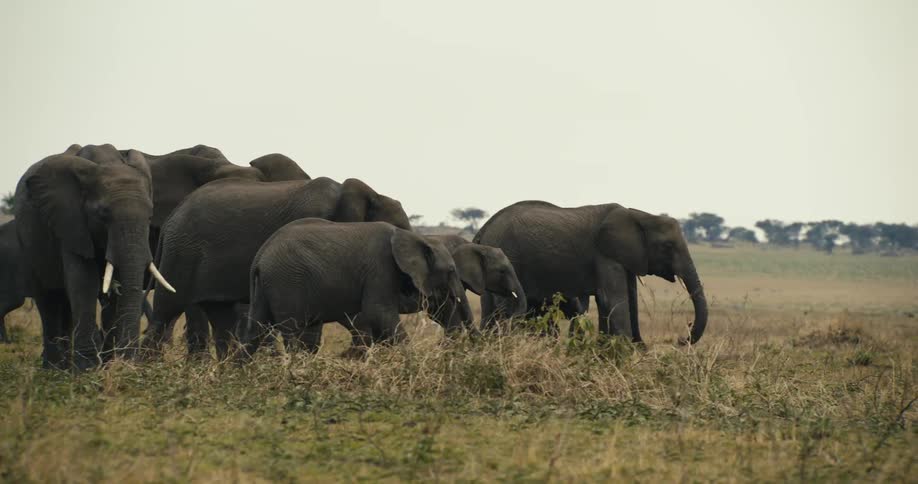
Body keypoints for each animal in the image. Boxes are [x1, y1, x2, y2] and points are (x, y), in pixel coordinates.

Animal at [14, 144, 175, 370]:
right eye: (103, 214)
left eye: (150, 216)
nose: (129, 363)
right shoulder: (71, 222)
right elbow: (84, 282)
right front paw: (88, 370)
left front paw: (112, 366)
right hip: (28, 242)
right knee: (48, 300)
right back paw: (53, 369)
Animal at [242, 219, 472, 355]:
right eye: (451, 270)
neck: (414, 236)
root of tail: (260, 258)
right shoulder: (379, 268)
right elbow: (379, 312)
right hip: (287, 282)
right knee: (292, 330)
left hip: (265, 286)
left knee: (255, 330)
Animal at [473, 201, 708, 344]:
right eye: (668, 246)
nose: (682, 338)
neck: (639, 216)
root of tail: (483, 228)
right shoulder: (605, 254)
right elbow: (612, 298)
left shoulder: (625, 256)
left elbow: (625, 299)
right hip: (508, 254)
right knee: (504, 308)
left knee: (490, 309)